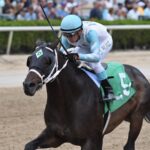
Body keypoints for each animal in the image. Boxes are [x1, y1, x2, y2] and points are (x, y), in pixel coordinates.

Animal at [22, 41, 150, 150]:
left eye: (48, 61)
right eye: (29, 60)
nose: (28, 85)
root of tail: (140, 74)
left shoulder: (92, 139)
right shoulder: (55, 136)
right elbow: (29, 145)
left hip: (137, 118)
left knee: (129, 145)